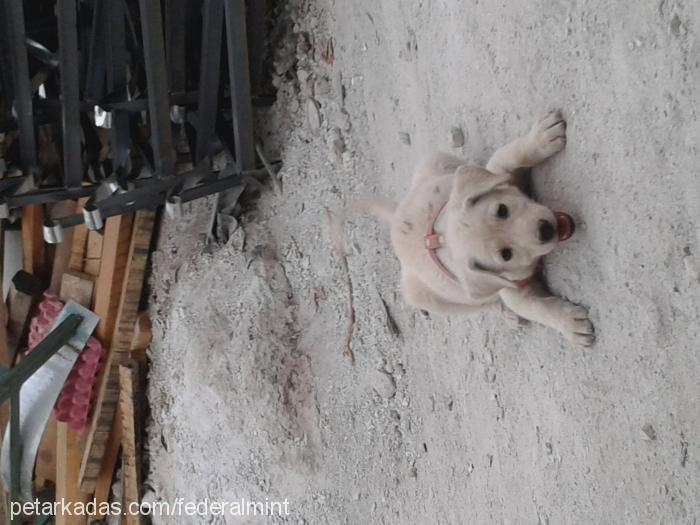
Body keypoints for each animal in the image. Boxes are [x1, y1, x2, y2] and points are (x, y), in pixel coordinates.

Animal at [352, 111, 592, 344]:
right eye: (506, 255)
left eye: (502, 210)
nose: (545, 230)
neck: (443, 237)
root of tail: (395, 220)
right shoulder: (510, 289)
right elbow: (537, 308)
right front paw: (570, 325)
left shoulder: (499, 171)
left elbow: (512, 154)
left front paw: (542, 137)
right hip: (425, 298)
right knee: (481, 306)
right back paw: (507, 316)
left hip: (433, 162)